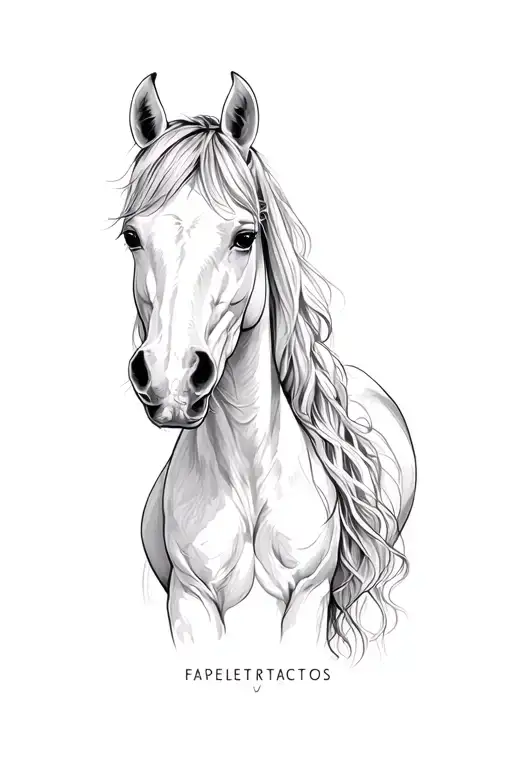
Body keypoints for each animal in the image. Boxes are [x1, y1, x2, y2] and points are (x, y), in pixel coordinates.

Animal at [117, 71, 416, 660]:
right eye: (132, 236)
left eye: (245, 237)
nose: (170, 380)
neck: (251, 473)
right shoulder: (191, 603)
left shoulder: (309, 601)